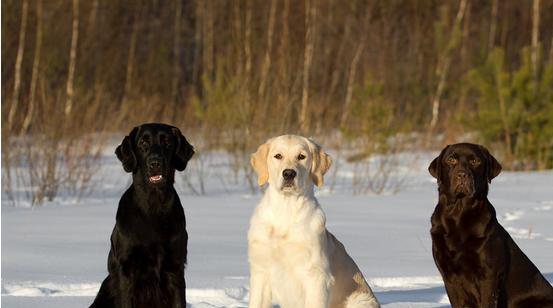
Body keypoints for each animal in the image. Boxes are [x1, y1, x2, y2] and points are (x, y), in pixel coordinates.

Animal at [90, 123, 194, 308]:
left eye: (167, 142)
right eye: (143, 143)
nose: (155, 163)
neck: (153, 208)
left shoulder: (175, 267)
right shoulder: (126, 269)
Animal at [430, 143, 552, 306]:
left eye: (475, 161)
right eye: (451, 160)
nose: (462, 175)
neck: (458, 215)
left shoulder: (489, 275)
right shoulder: (449, 277)